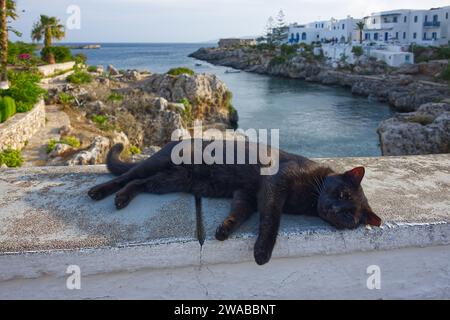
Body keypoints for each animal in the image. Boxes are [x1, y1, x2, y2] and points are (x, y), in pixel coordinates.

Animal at [88, 140, 380, 264]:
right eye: (342, 194)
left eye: (349, 216)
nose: (334, 209)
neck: (309, 197)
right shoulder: (274, 185)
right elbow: (271, 220)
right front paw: (262, 253)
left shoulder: (247, 195)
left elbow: (239, 214)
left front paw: (223, 230)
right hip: (158, 164)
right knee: (127, 176)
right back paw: (100, 192)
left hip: (170, 181)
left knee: (138, 183)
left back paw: (122, 199)